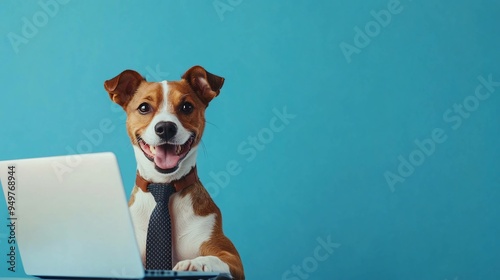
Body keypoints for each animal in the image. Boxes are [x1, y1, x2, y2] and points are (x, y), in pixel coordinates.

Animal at [103, 66, 244, 280]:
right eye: (144, 107)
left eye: (186, 107)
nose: (165, 127)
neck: (163, 185)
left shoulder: (231, 257)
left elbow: (215, 258)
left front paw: (196, 263)